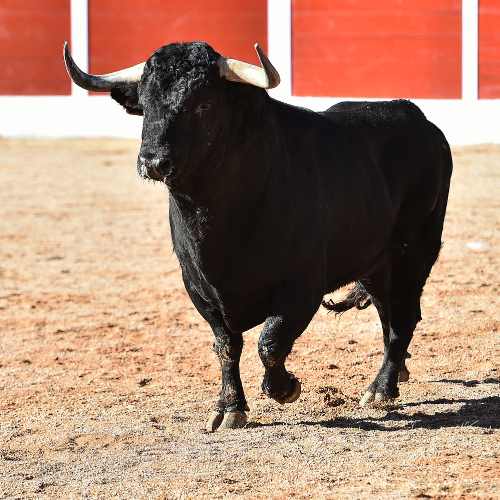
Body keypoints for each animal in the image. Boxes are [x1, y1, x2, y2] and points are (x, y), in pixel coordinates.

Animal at [63, 40, 452, 432]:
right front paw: (229, 408)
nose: (155, 162)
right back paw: (397, 373)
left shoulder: (302, 283)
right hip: (375, 262)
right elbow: (226, 346)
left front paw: (285, 388)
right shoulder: (198, 287)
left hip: (414, 251)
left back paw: (381, 388)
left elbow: (270, 342)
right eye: (145, 104)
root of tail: (420, 120)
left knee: (403, 316)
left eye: (204, 104)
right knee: (388, 312)